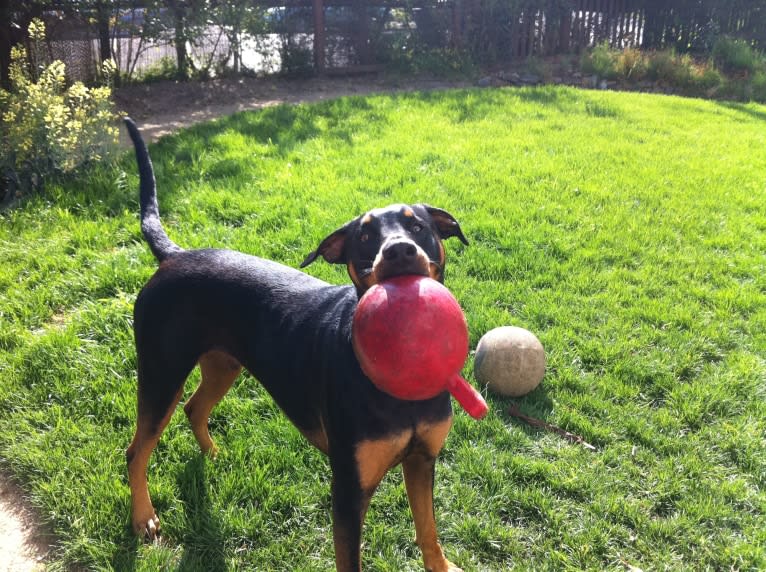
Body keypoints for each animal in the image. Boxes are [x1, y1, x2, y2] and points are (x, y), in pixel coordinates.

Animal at [125, 118, 472, 568]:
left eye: (418, 227)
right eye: (364, 237)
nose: (398, 250)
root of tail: (174, 256)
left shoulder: (422, 459)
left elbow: (428, 528)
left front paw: (441, 566)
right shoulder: (348, 489)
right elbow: (350, 559)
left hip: (222, 363)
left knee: (194, 407)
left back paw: (214, 455)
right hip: (161, 373)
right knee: (138, 450)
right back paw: (143, 517)